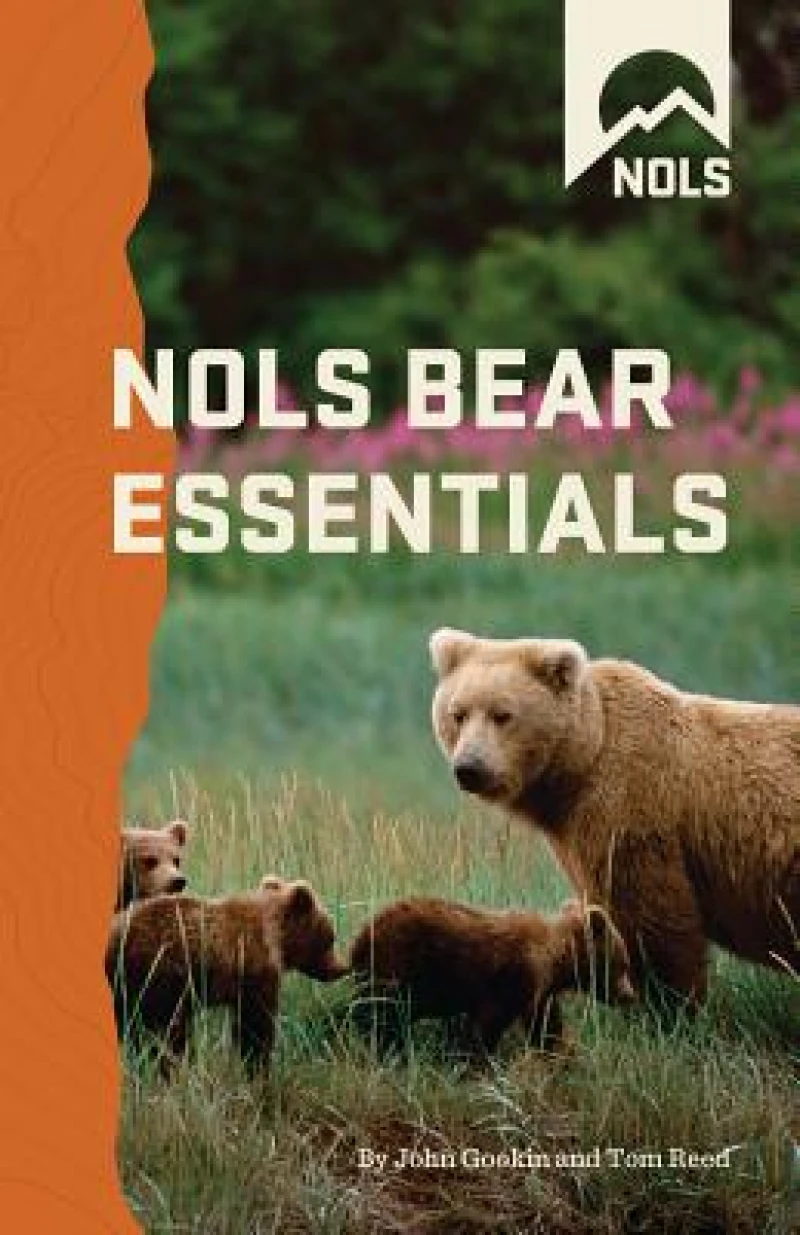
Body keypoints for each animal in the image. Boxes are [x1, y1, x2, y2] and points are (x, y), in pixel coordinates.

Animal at [106, 875, 347, 1073]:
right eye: (330, 937)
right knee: (165, 1031)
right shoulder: (254, 970)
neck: (275, 938)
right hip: (155, 974)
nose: (341, 968)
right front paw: (258, 1064)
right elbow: (255, 1025)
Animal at [349, 896, 635, 1057]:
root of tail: (361, 935)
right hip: (398, 964)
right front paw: (475, 1060)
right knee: (381, 1015)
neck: (556, 958)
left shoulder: (541, 992)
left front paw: (561, 1051)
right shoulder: (515, 975)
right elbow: (489, 1022)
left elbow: (546, 1026)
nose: (629, 995)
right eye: (624, 964)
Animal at [430, 628, 800, 1005]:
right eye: (458, 714)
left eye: (502, 714)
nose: (470, 768)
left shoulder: (630, 807)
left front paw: (667, 1003)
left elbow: (655, 923)